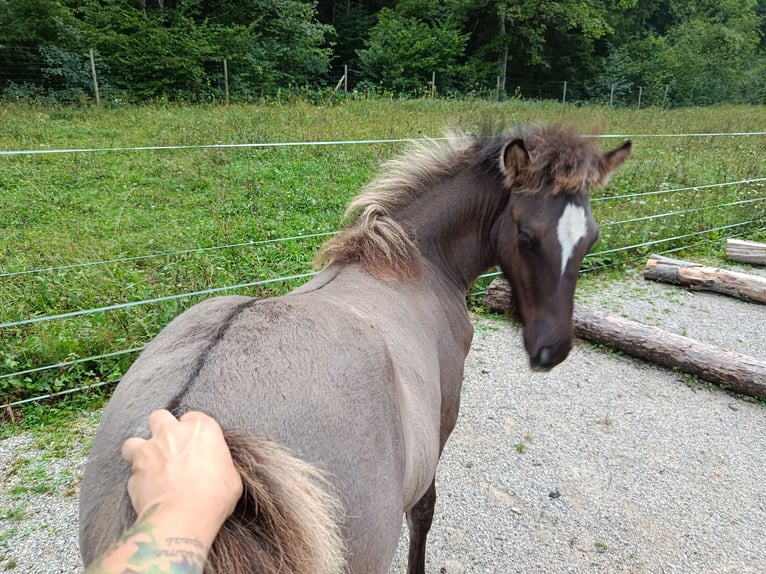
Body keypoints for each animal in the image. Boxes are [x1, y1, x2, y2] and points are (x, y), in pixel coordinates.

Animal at [79, 125, 631, 573]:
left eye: (591, 236)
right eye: (526, 235)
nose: (551, 348)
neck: (415, 264)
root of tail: (192, 415)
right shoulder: (442, 422)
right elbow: (425, 512)